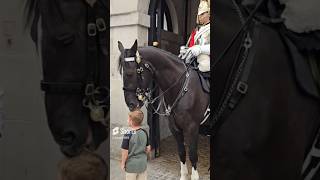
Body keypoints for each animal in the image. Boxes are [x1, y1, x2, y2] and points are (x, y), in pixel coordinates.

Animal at [117, 40, 210, 180]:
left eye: (131, 73)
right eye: (122, 73)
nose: (131, 104)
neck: (180, 87)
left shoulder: (192, 127)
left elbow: (193, 154)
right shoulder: (175, 128)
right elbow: (182, 152)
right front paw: (183, 175)